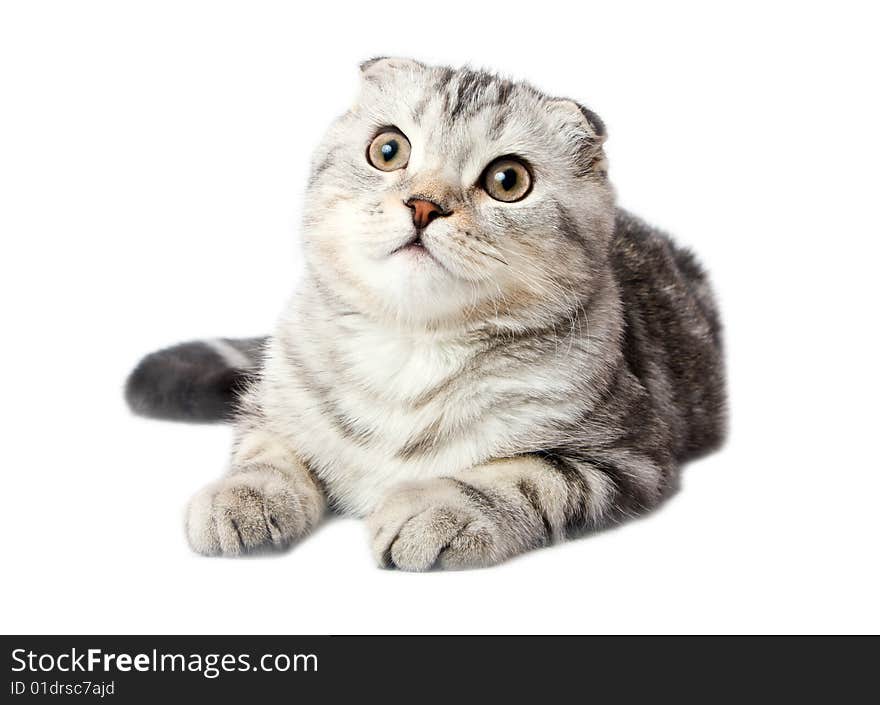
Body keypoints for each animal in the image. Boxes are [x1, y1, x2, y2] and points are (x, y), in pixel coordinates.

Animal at [125, 57, 728, 568]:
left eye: (508, 180)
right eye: (388, 150)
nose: (423, 205)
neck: (408, 351)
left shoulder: (628, 453)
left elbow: (527, 477)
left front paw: (440, 511)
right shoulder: (274, 401)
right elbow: (265, 448)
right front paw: (245, 495)